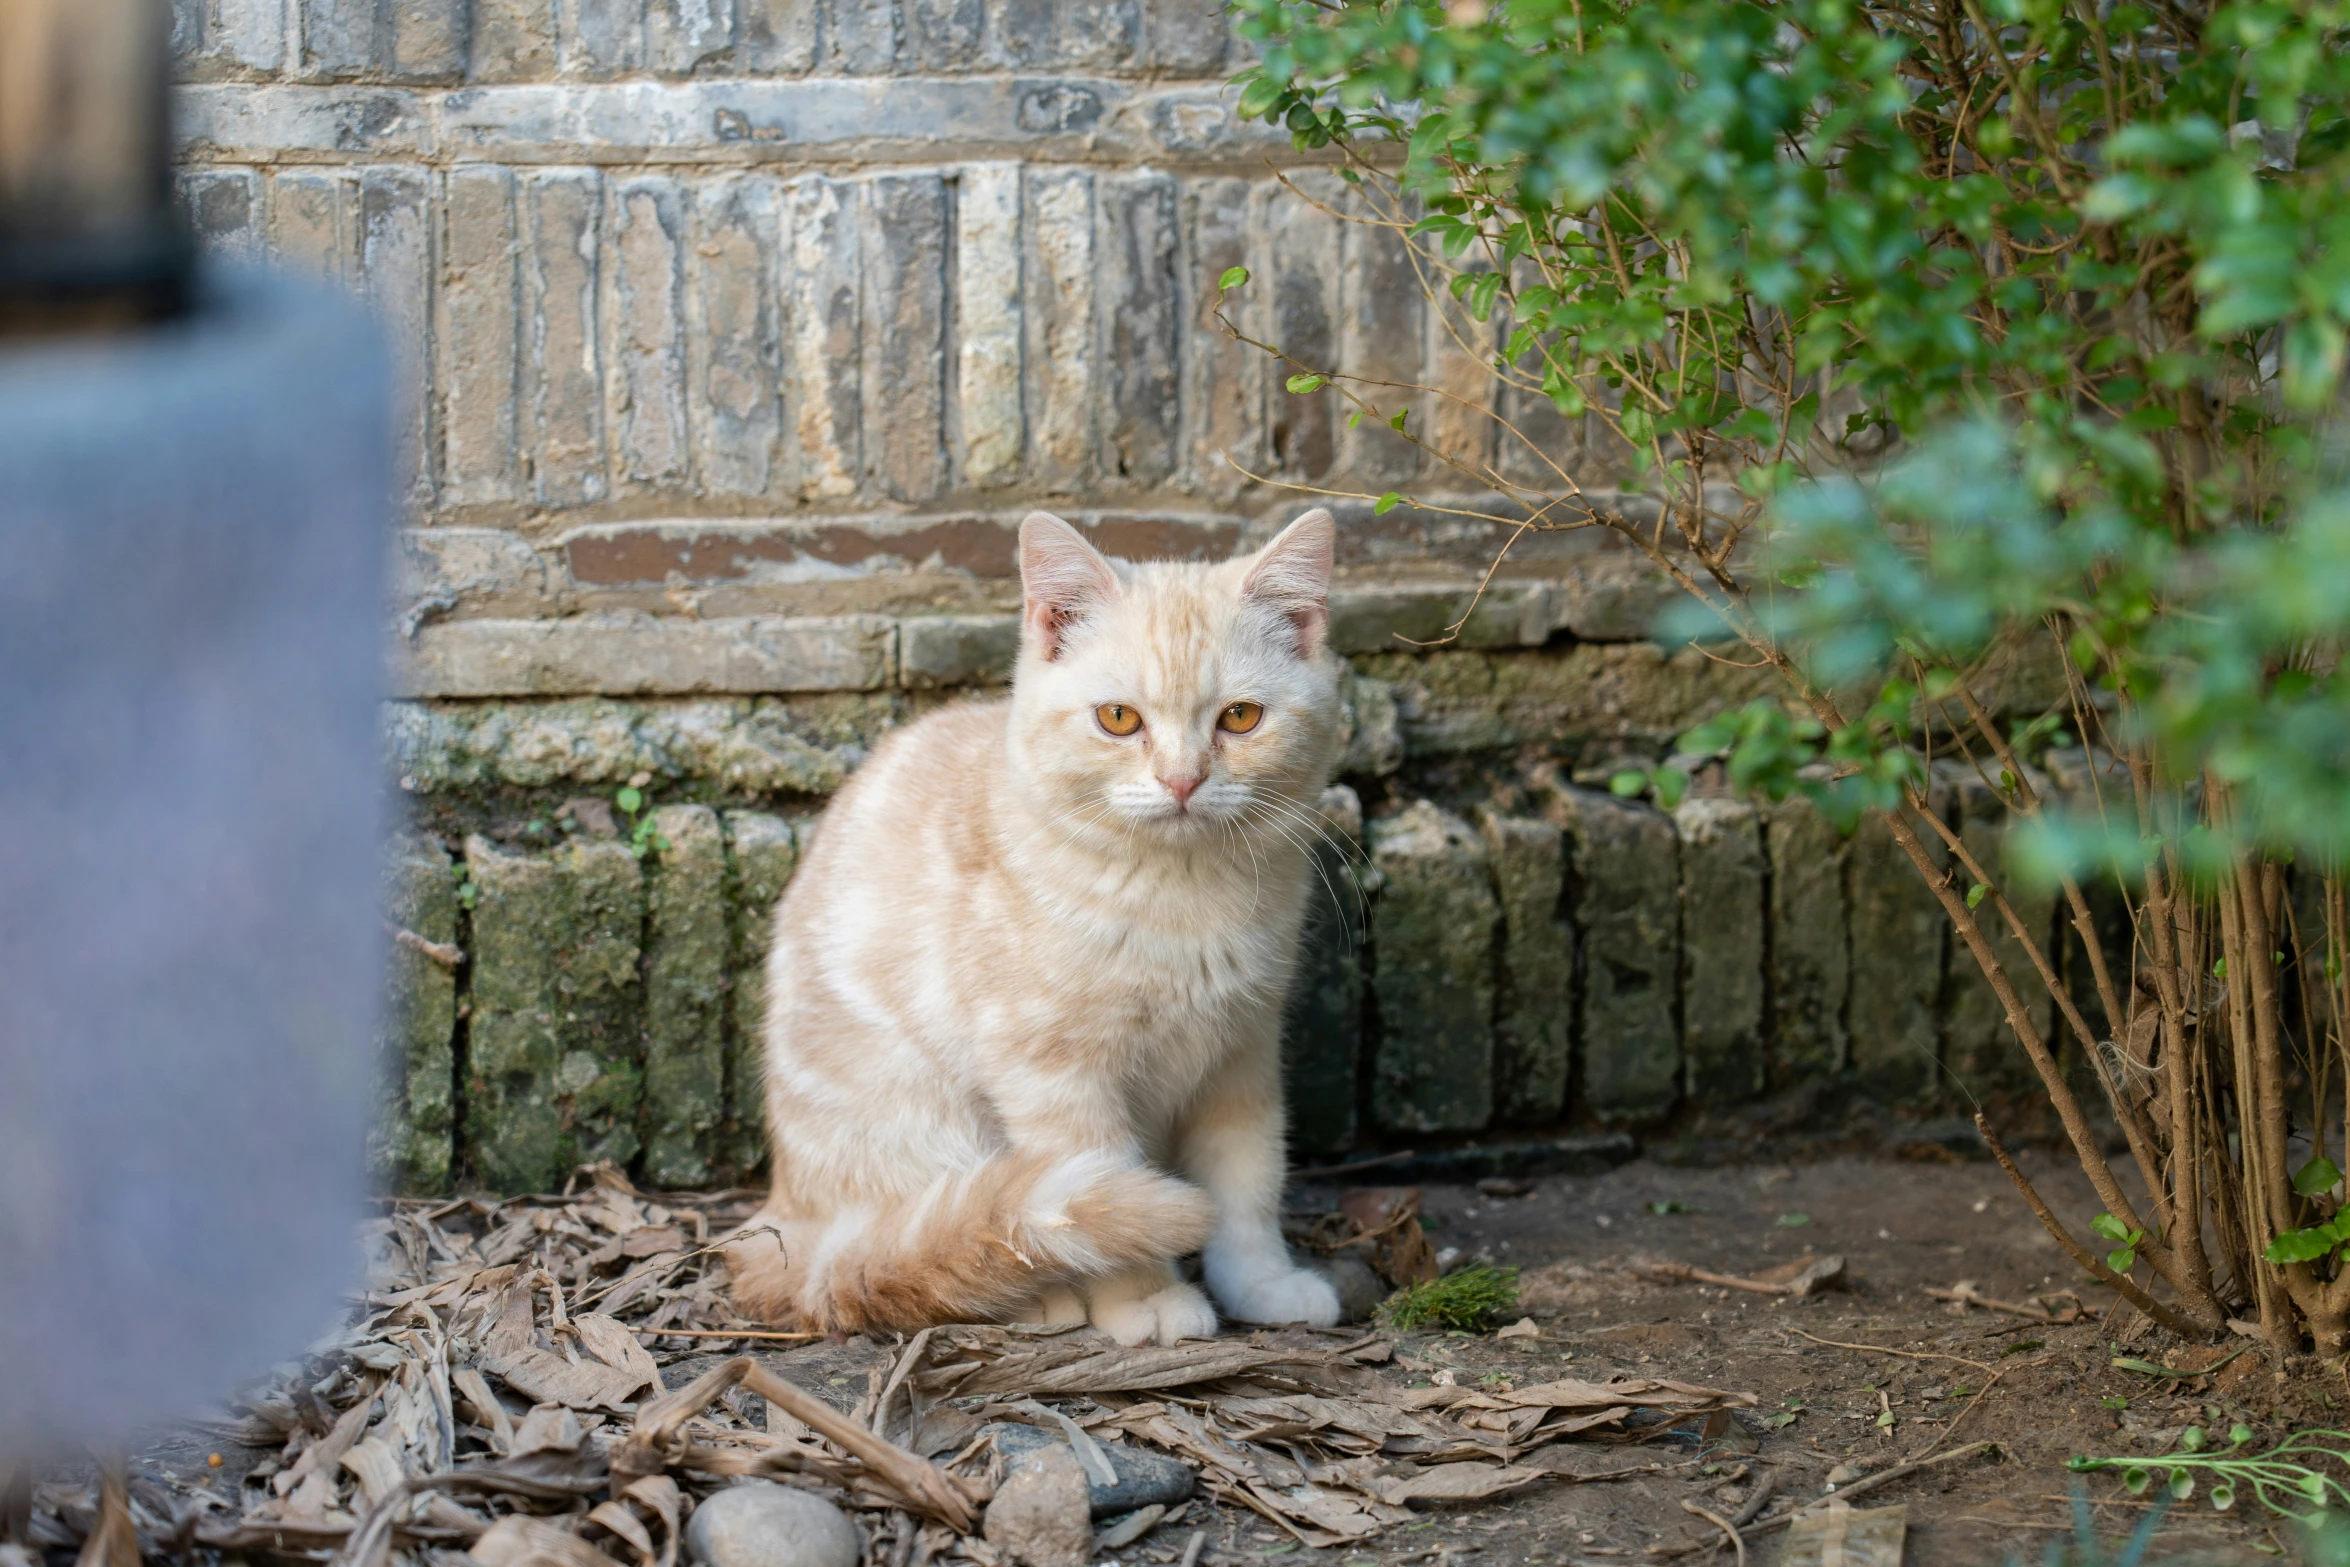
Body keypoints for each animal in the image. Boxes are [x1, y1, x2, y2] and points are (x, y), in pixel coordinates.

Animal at [719, 512, 1344, 1353]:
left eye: (1241, 717)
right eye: (1119, 718)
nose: (1182, 779)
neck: (1180, 896)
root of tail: (782, 1221)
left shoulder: (1242, 1052)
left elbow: (1249, 1178)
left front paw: (1263, 1280)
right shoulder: (1053, 1073)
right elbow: (1102, 1187)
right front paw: (1147, 1296)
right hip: (930, 1126)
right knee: (958, 1242)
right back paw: (1036, 1296)